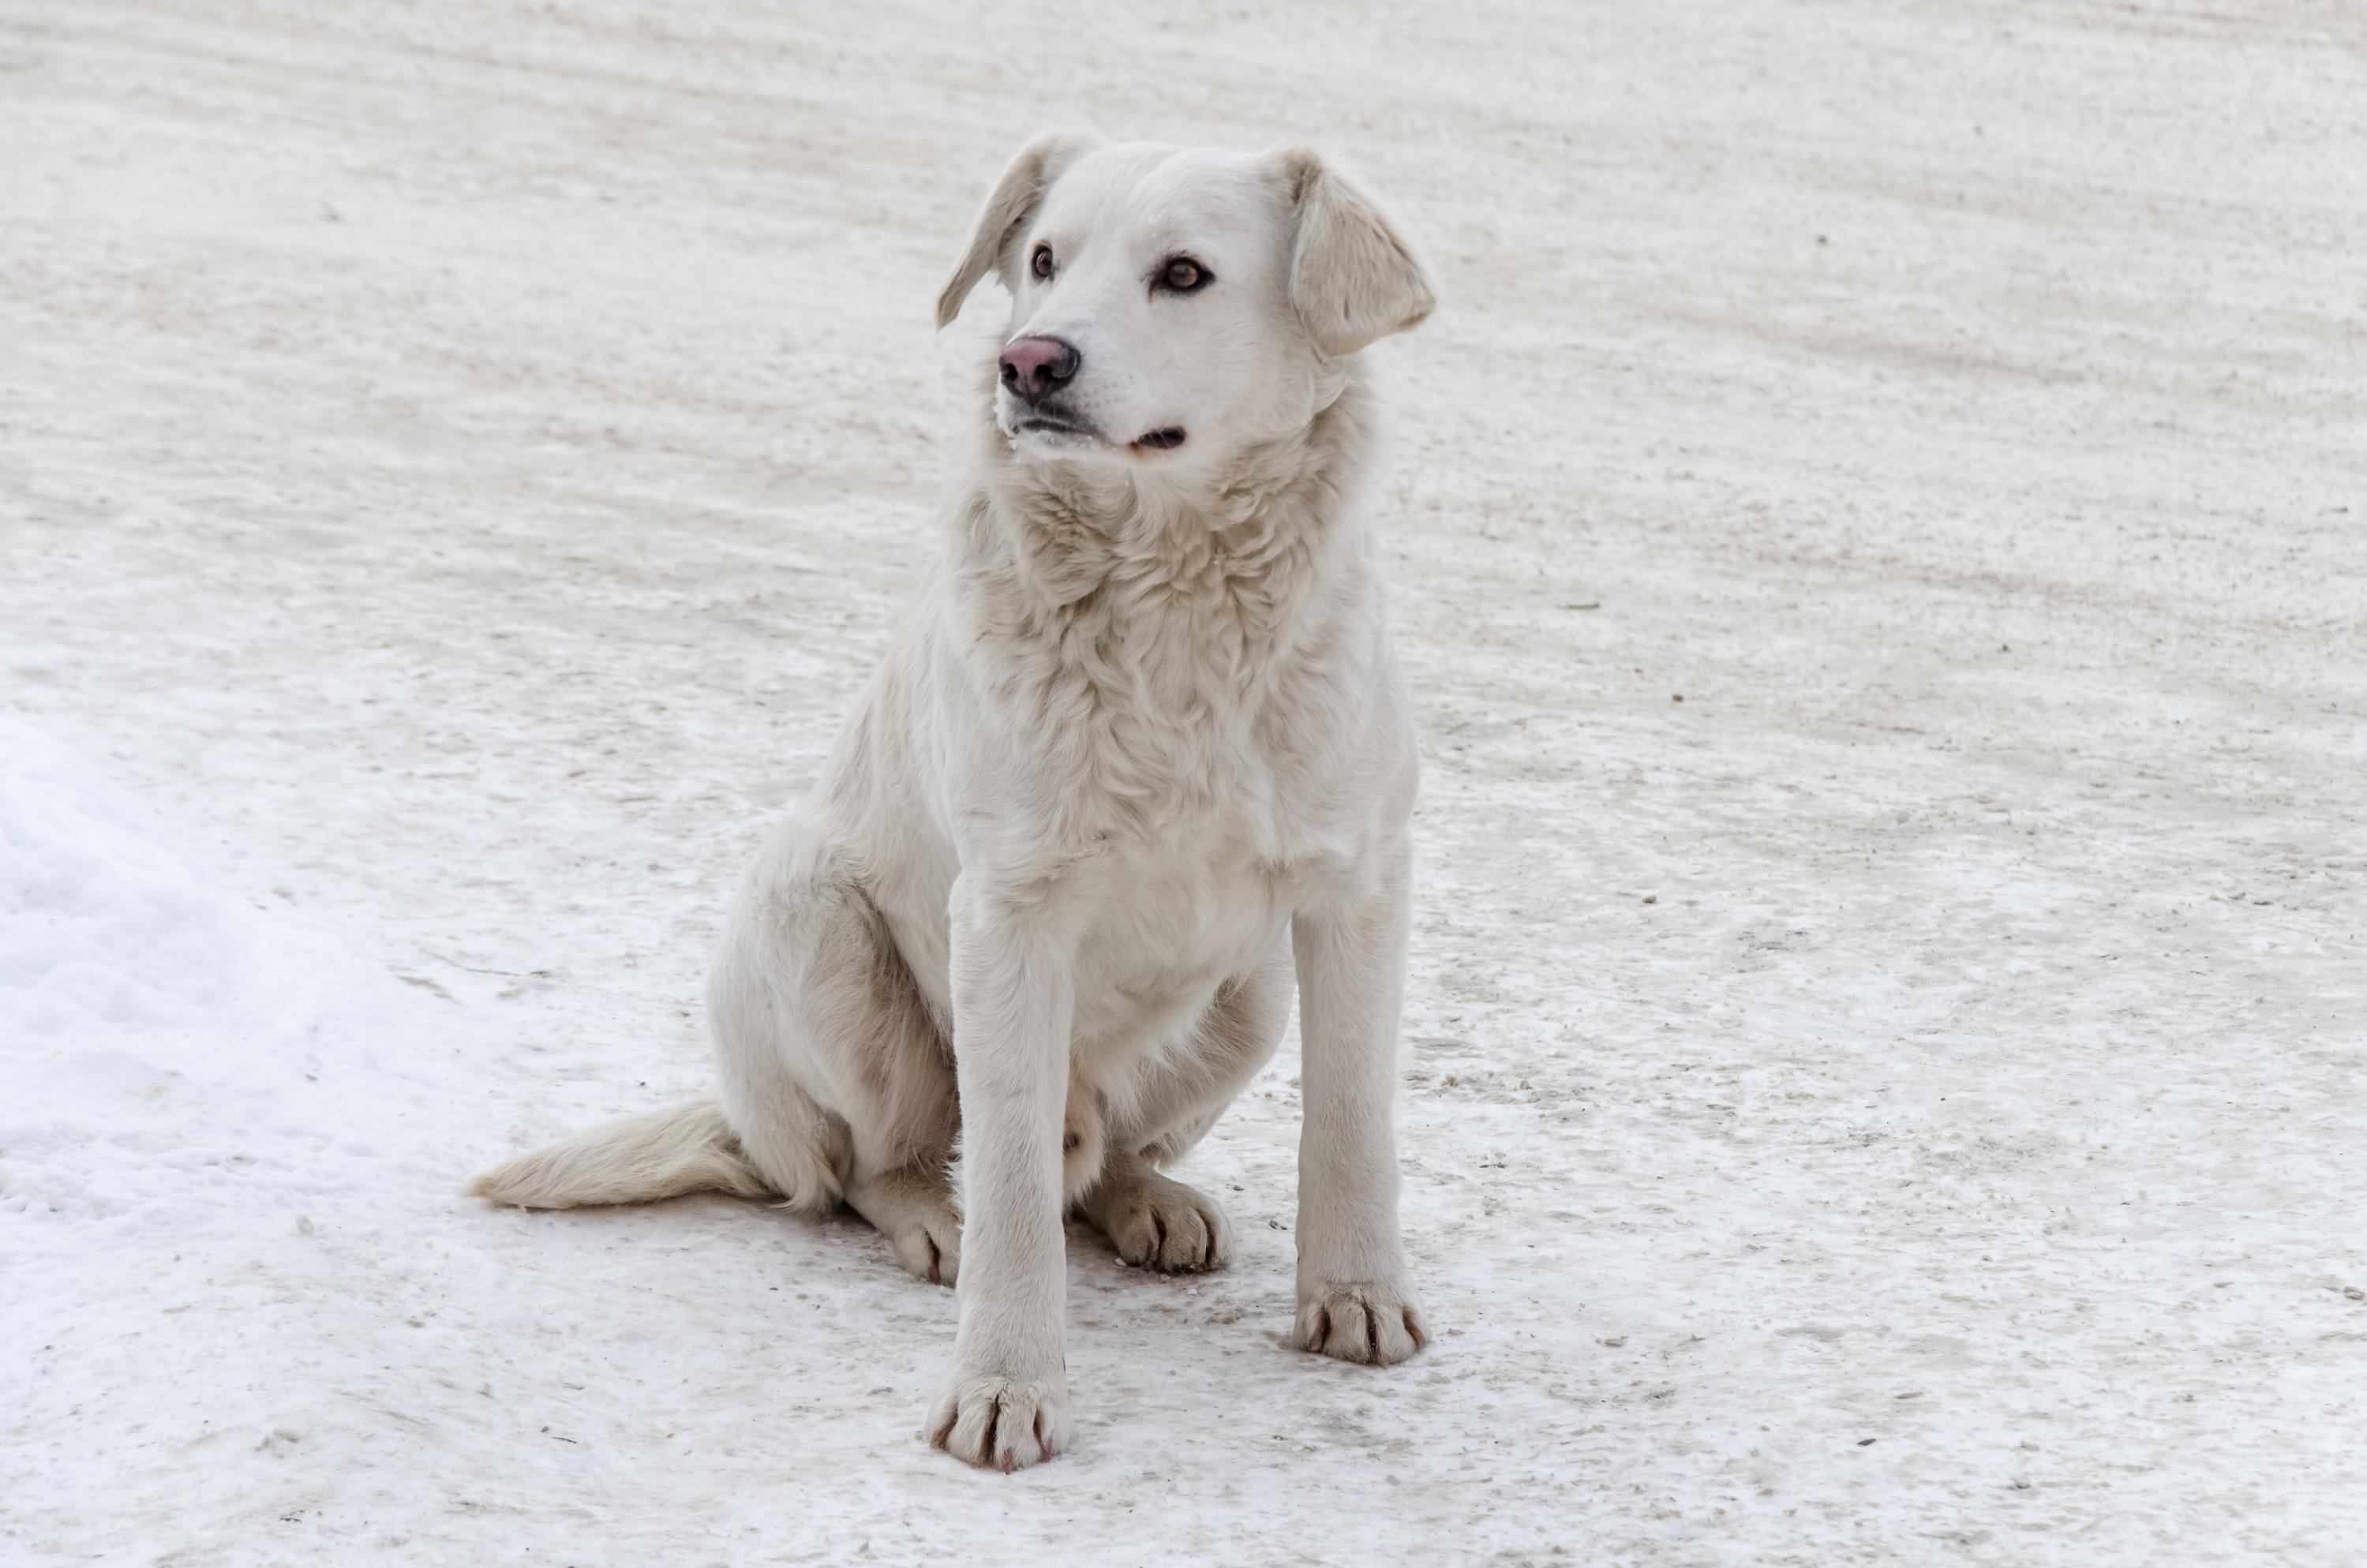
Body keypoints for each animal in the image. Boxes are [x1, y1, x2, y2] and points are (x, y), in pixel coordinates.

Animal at [468, 134, 1429, 1476]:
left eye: (1183, 274)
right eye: (1043, 260)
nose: (1029, 361)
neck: (1174, 604)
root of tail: (744, 1123)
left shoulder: (1356, 887)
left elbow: (1347, 1119)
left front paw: (1352, 1295)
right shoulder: (1011, 914)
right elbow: (1012, 1193)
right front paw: (1004, 1384)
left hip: (1248, 996)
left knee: (1099, 1161)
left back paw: (1145, 1198)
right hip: (813, 922)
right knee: (876, 1165)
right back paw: (929, 1216)